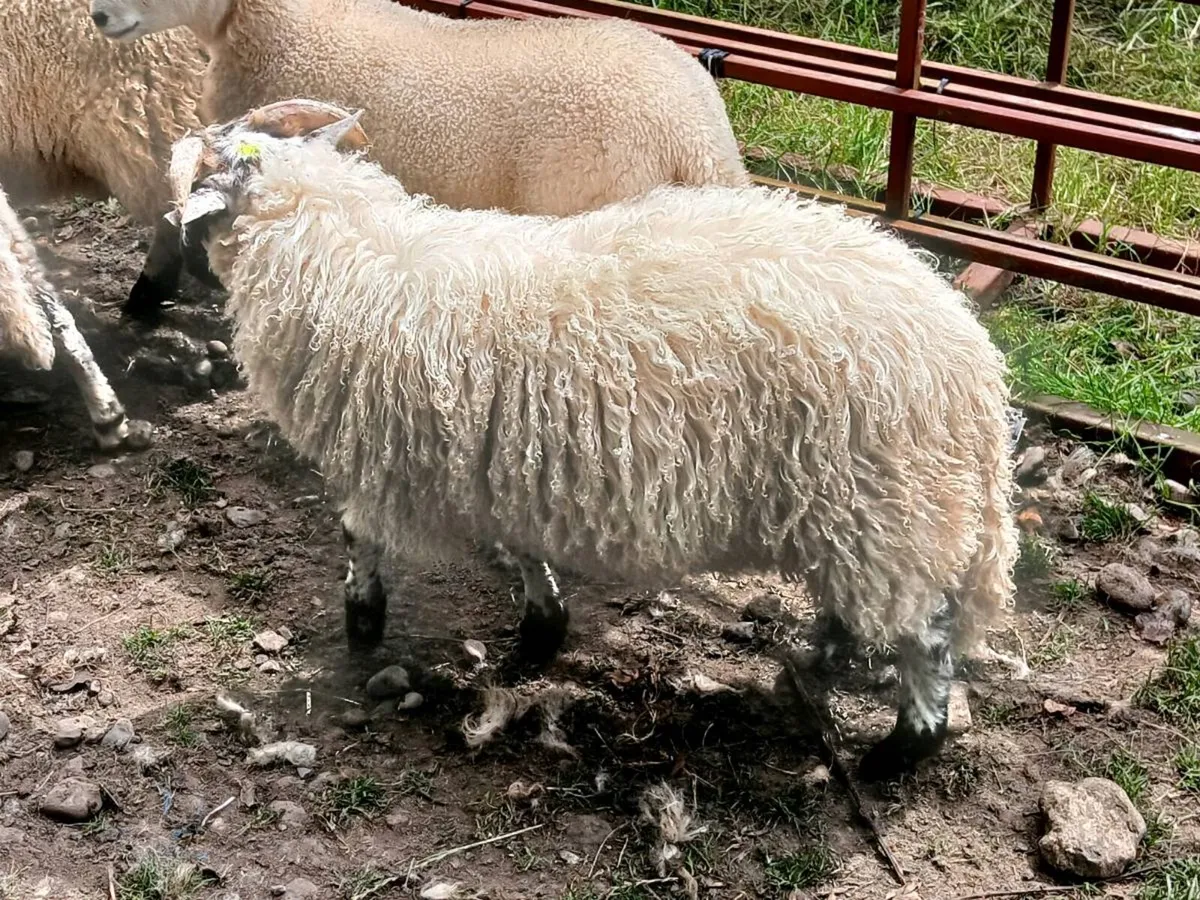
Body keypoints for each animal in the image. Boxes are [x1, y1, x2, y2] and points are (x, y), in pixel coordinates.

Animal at [165, 100, 1018, 780]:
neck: (341, 254)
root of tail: (968, 358)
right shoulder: (492, 461)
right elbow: (518, 549)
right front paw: (542, 630)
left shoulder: (385, 461)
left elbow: (357, 541)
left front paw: (363, 627)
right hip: (859, 507)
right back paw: (822, 654)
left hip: (886, 499)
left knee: (926, 636)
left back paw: (903, 748)